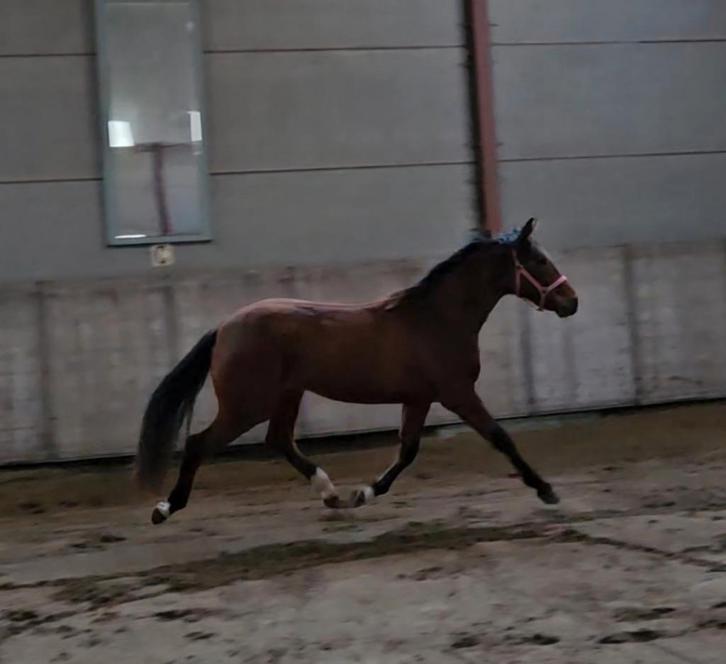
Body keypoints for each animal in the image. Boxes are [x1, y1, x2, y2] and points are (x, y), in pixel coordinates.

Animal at [135, 218, 578, 524]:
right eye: (539, 260)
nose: (572, 302)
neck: (438, 319)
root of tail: (225, 326)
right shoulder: (457, 393)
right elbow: (500, 437)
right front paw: (547, 491)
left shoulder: (419, 398)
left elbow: (408, 450)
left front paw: (363, 494)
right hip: (247, 404)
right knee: (199, 443)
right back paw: (165, 507)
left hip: (287, 395)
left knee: (279, 439)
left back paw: (331, 494)